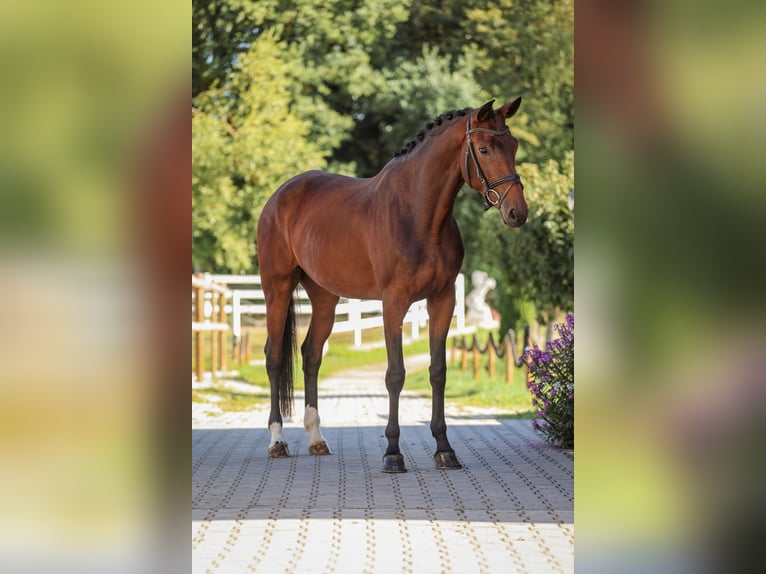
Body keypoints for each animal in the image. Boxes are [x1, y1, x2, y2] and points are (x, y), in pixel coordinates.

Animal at [256, 98, 527, 473]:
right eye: (484, 149)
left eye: (513, 146)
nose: (517, 212)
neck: (418, 214)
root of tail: (280, 196)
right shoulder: (394, 302)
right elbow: (395, 374)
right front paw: (393, 453)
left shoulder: (442, 300)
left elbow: (438, 371)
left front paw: (444, 449)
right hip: (277, 287)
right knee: (273, 356)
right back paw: (276, 441)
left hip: (325, 297)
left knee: (311, 354)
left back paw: (316, 438)